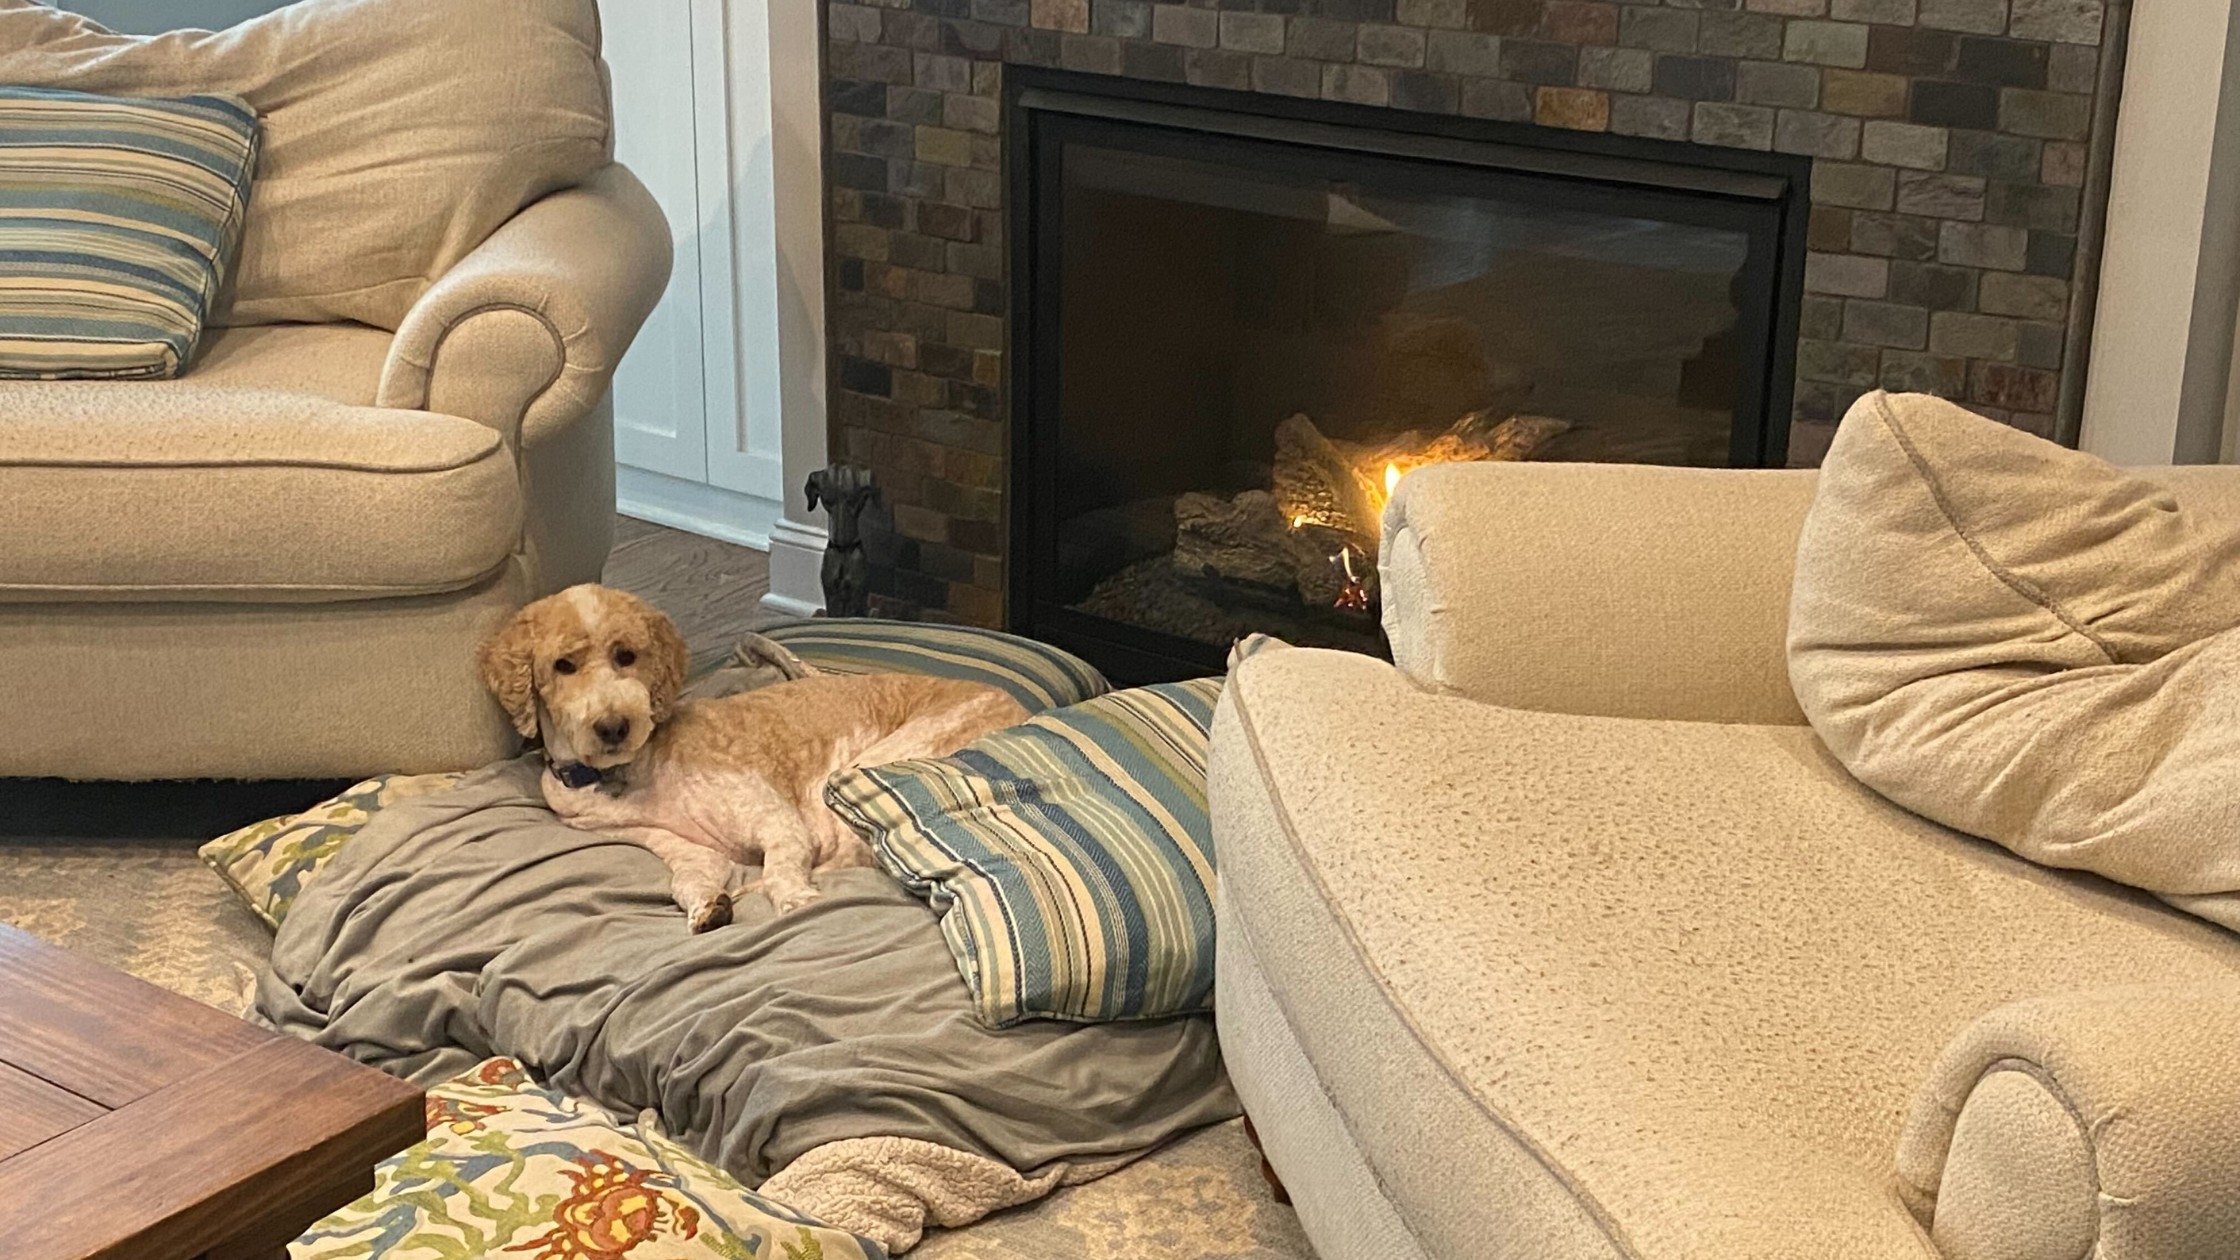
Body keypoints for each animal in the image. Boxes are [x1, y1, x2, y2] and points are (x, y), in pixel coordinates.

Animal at [486, 582, 1025, 928]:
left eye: (627, 656)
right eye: (563, 665)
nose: (614, 726)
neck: (625, 774)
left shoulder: (780, 823)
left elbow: (781, 867)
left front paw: (794, 899)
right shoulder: (680, 848)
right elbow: (691, 879)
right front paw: (707, 907)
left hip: (868, 765)